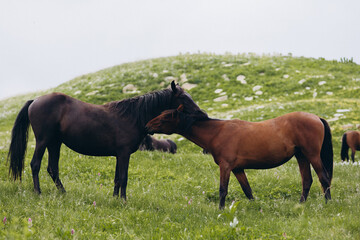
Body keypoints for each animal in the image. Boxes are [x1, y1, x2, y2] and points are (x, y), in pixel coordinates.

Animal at [7, 81, 202, 200]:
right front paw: (123, 200)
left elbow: (117, 178)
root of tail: (35, 100)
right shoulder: (124, 154)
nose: (201, 114)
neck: (132, 117)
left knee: (52, 169)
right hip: (43, 141)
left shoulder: (119, 155)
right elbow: (123, 177)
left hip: (55, 143)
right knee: (35, 164)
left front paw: (115, 199)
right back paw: (38, 192)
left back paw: (63, 193)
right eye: (183, 98)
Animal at [145, 106, 334, 209]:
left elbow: (223, 190)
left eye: (165, 117)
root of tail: (316, 118)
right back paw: (301, 204)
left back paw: (328, 204)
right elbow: (247, 190)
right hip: (301, 156)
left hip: (312, 155)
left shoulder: (226, 166)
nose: (147, 126)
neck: (217, 132)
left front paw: (220, 211)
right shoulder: (237, 169)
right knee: (307, 180)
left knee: (323, 178)